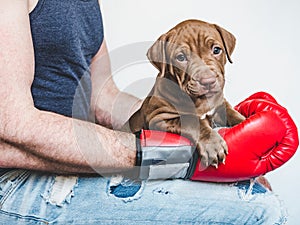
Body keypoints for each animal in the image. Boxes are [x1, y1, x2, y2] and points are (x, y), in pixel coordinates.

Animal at [128, 19, 244, 169]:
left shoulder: (220, 105)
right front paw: (212, 144)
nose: (208, 81)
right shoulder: (159, 117)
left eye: (216, 50)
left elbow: (232, 113)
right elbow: (193, 121)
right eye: (181, 57)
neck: (200, 101)